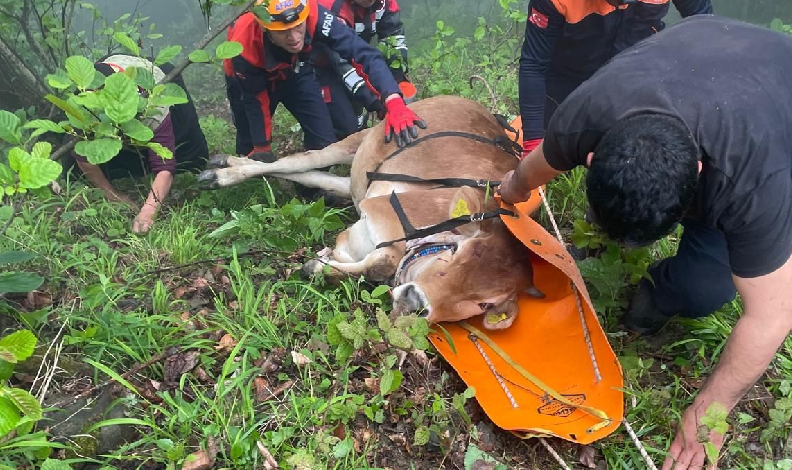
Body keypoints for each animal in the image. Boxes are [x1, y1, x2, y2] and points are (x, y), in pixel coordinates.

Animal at [200, 94, 544, 330]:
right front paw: (319, 266)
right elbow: (382, 261)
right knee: (297, 160)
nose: (415, 302)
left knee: (318, 176)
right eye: (457, 254)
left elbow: (368, 262)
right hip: (358, 141)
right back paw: (221, 171)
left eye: (485, 303)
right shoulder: (383, 207)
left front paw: (322, 264)